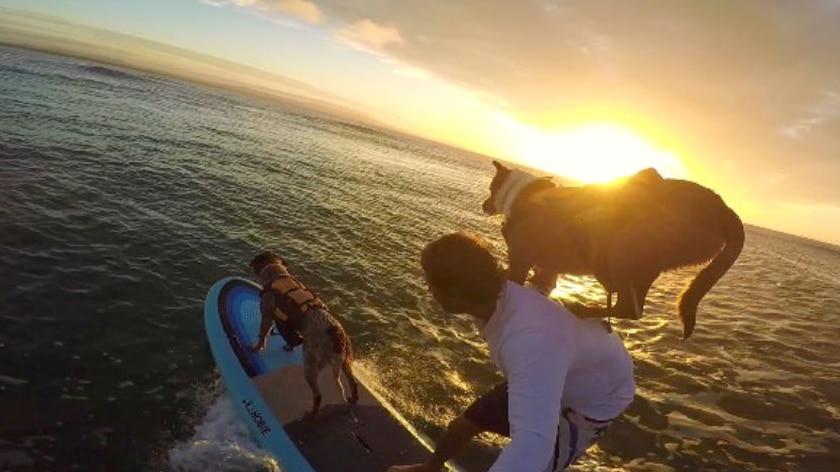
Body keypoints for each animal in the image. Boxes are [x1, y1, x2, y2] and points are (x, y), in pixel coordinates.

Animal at [248, 253, 356, 414]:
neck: (277, 274)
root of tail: (337, 337)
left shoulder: (267, 315)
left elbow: (262, 336)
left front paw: (256, 348)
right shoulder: (284, 323)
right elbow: (291, 339)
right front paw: (289, 347)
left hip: (310, 366)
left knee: (318, 395)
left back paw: (312, 414)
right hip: (345, 362)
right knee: (353, 383)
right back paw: (353, 400)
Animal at [482, 160, 744, 338]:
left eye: (491, 188)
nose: (484, 205)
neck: (526, 196)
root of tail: (724, 210)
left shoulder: (520, 261)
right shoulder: (546, 270)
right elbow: (542, 282)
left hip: (624, 250)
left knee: (628, 307)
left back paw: (583, 309)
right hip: (644, 266)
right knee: (632, 309)